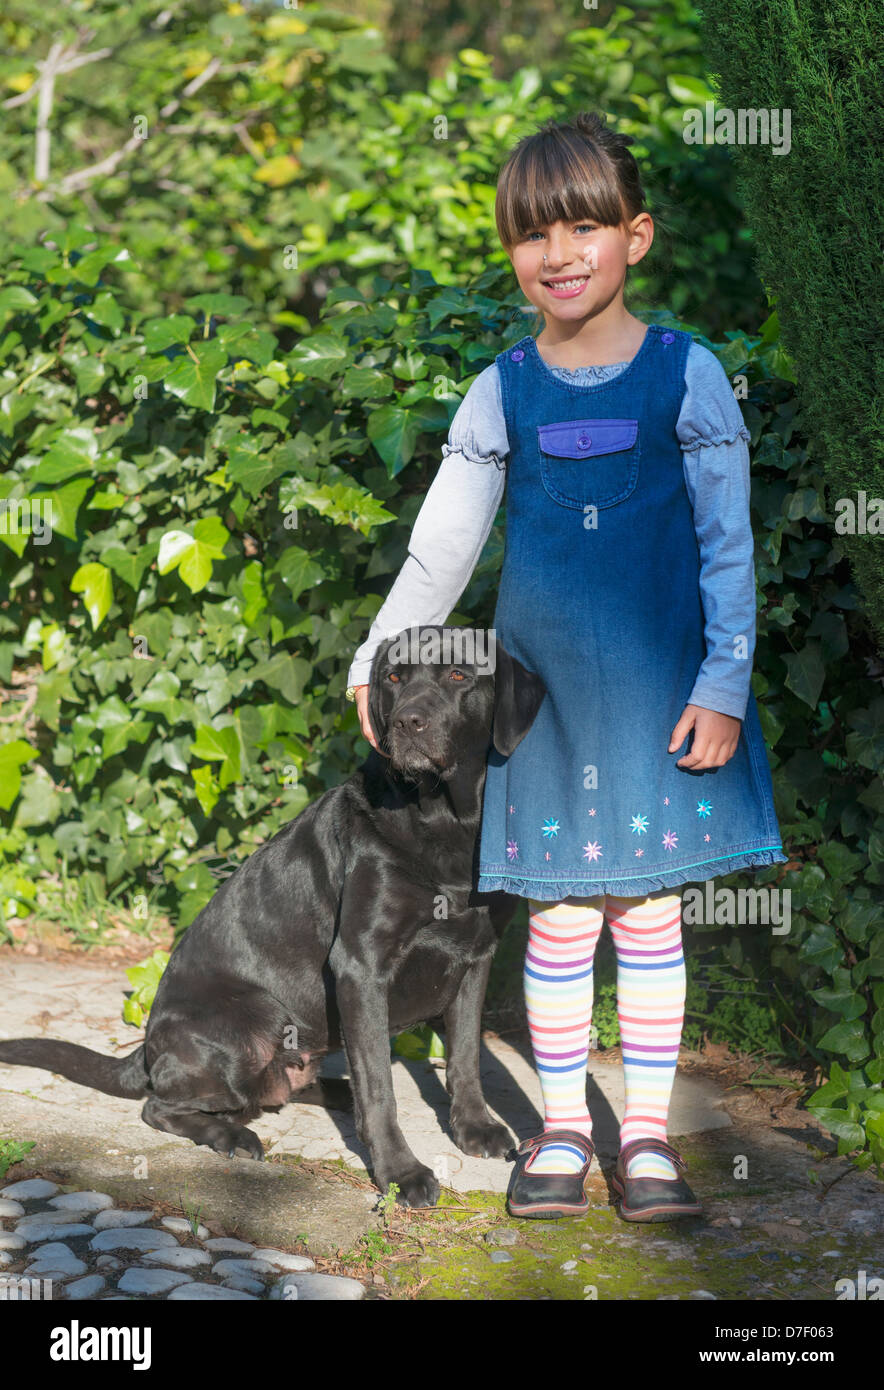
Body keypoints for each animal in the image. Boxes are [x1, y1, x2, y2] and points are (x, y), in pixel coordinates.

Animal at [0, 631, 544, 1206]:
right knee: (163, 1106)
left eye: (460, 675)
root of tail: (146, 1049)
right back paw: (233, 1136)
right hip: (252, 1025)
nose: (407, 722)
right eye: (395, 678)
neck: (445, 820)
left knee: (295, 1086)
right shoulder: (362, 965)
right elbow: (381, 1090)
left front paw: (475, 1128)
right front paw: (400, 1172)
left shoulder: (476, 955)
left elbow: (464, 1058)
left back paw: (333, 1091)